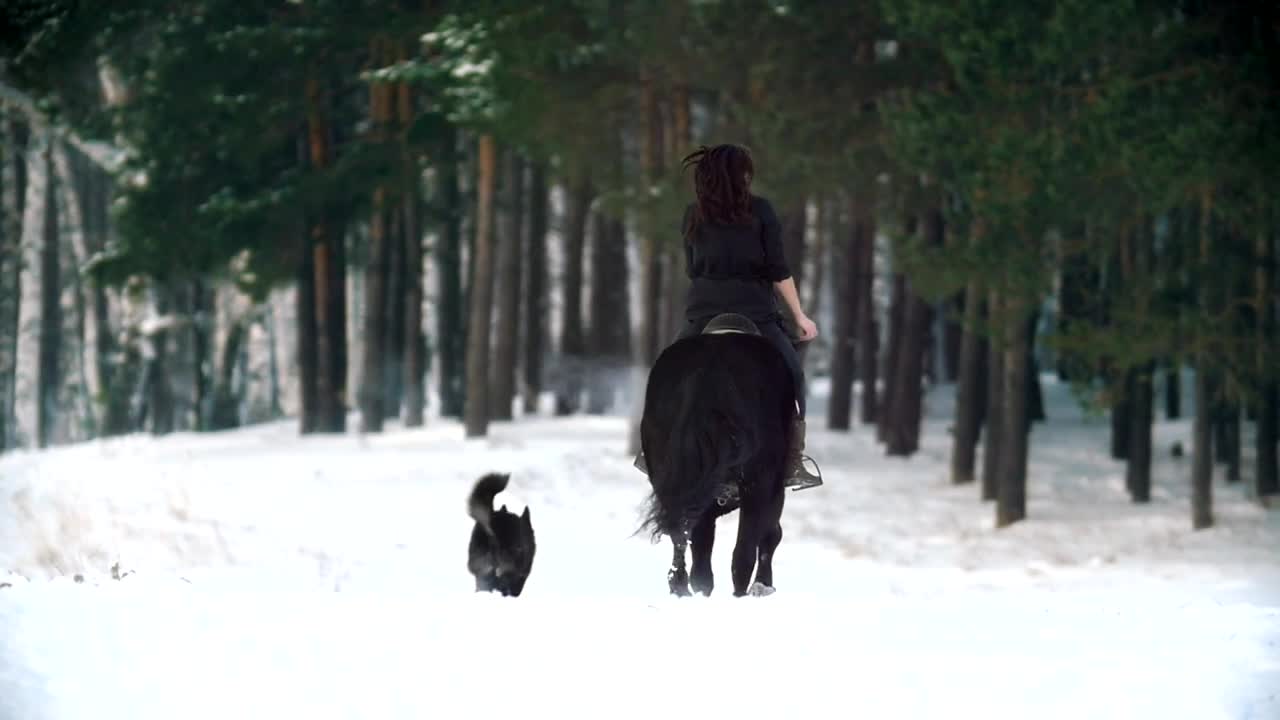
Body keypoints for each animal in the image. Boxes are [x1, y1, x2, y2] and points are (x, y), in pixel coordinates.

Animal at [639, 313, 797, 597]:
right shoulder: (771, 486)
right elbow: (764, 537)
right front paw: (763, 585)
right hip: (758, 482)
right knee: (743, 554)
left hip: (674, 477)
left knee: (682, 536)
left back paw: (680, 587)